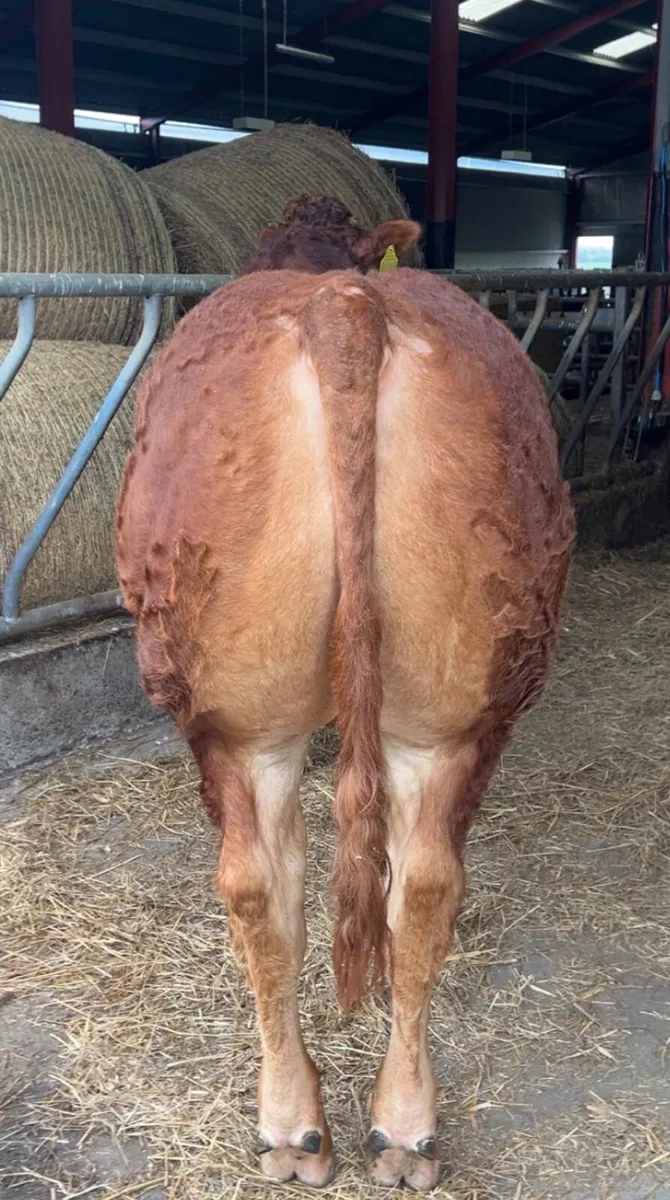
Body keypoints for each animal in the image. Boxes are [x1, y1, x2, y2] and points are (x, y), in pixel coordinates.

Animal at [116, 194, 575, 1190]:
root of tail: (345, 305)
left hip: (231, 722)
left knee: (266, 890)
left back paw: (295, 1127)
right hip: (446, 708)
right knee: (414, 888)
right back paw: (400, 1129)